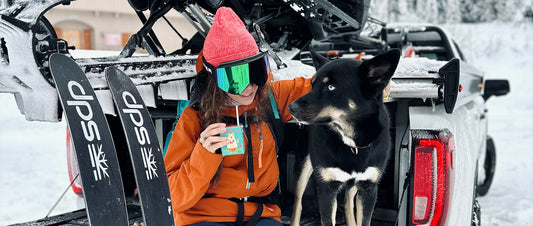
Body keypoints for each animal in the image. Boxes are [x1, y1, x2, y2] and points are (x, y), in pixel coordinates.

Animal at [288, 49, 396, 226]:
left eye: (331, 87)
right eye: (312, 84)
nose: (291, 107)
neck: (351, 141)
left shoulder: (368, 188)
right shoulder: (327, 188)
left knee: (348, 203)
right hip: (303, 166)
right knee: (297, 205)